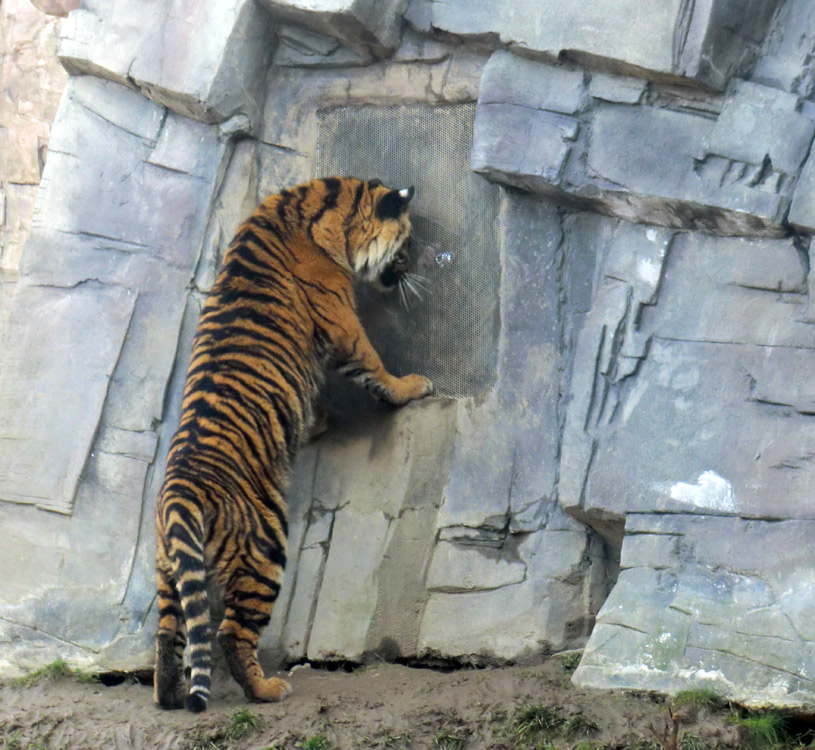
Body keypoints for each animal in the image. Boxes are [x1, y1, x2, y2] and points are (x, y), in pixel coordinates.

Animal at [152, 178, 434, 716]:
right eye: (407, 242)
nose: (408, 271)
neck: (322, 203)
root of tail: (180, 490)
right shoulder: (342, 321)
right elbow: (374, 365)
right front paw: (412, 386)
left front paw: (319, 420)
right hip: (262, 549)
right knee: (230, 633)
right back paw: (267, 690)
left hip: (169, 568)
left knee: (169, 634)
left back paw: (169, 695)